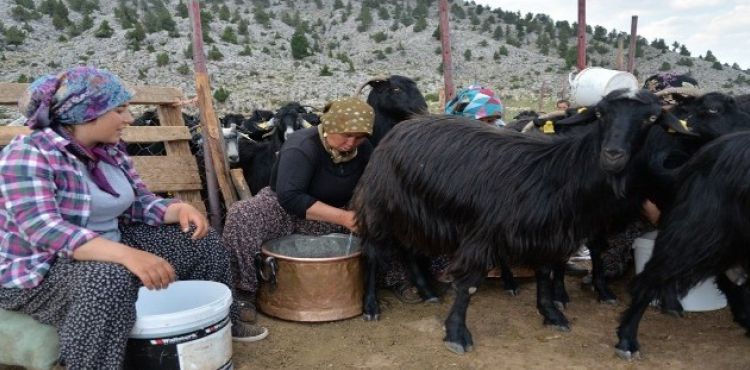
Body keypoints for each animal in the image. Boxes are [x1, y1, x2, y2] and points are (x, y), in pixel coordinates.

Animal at [352, 89, 692, 352]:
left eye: (651, 119)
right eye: (601, 114)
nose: (613, 155)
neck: (558, 172)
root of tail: (399, 129)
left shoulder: (544, 233)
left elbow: (545, 272)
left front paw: (551, 313)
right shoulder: (483, 232)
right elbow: (469, 286)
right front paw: (457, 334)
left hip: (412, 211)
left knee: (408, 248)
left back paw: (427, 291)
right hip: (380, 206)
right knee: (373, 253)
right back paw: (371, 306)